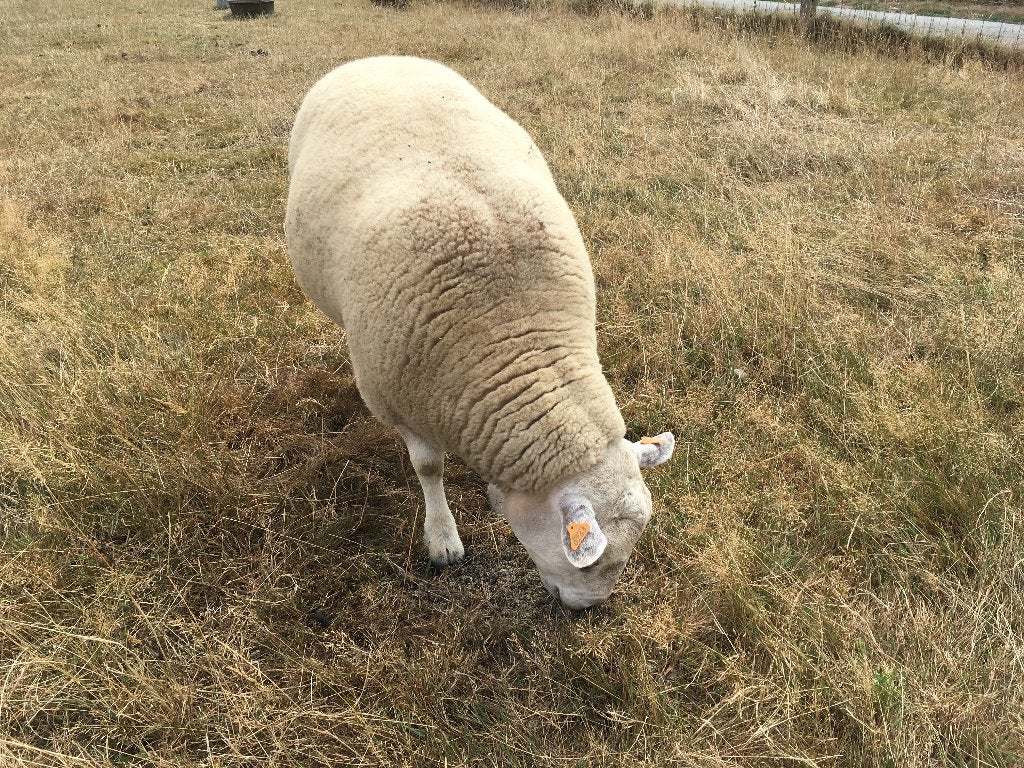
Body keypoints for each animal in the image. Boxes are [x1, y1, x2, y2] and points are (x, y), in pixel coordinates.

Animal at [285, 56, 675, 609]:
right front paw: (442, 538)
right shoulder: (404, 399)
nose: (587, 611)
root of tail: (381, 58)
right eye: (592, 560)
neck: (515, 334)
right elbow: (429, 469)